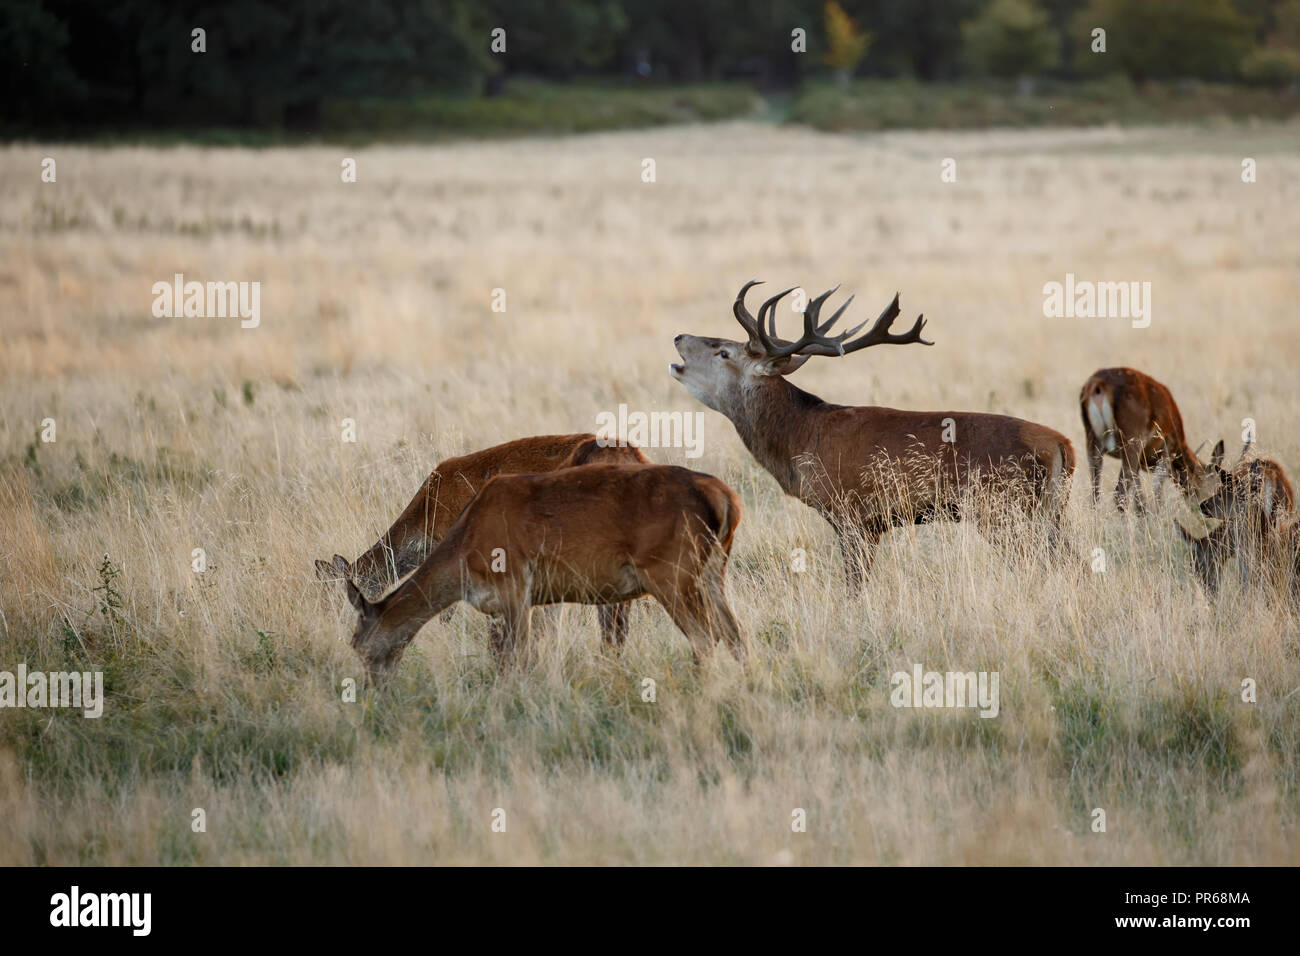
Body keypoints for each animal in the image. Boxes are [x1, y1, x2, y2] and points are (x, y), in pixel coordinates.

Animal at [338, 463, 743, 681]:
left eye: (358, 645)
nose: (374, 691)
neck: (465, 552)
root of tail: (727, 499)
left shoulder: (516, 583)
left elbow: (519, 657)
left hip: (671, 571)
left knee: (705, 636)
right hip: (714, 570)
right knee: (734, 632)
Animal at [670, 278, 1076, 590]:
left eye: (723, 352)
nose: (678, 336)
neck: (800, 438)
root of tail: (1062, 444)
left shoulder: (852, 513)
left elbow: (855, 584)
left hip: (1002, 507)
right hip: (1051, 512)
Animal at [1076, 369, 1216, 512]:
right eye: (1216, 487)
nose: (1204, 510)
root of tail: (1098, 384)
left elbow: (1139, 497)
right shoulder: (1167, 448)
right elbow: (1157, 491)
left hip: (1092, 441)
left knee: (1095, 494)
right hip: (1131, 441)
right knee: (1119, 495)